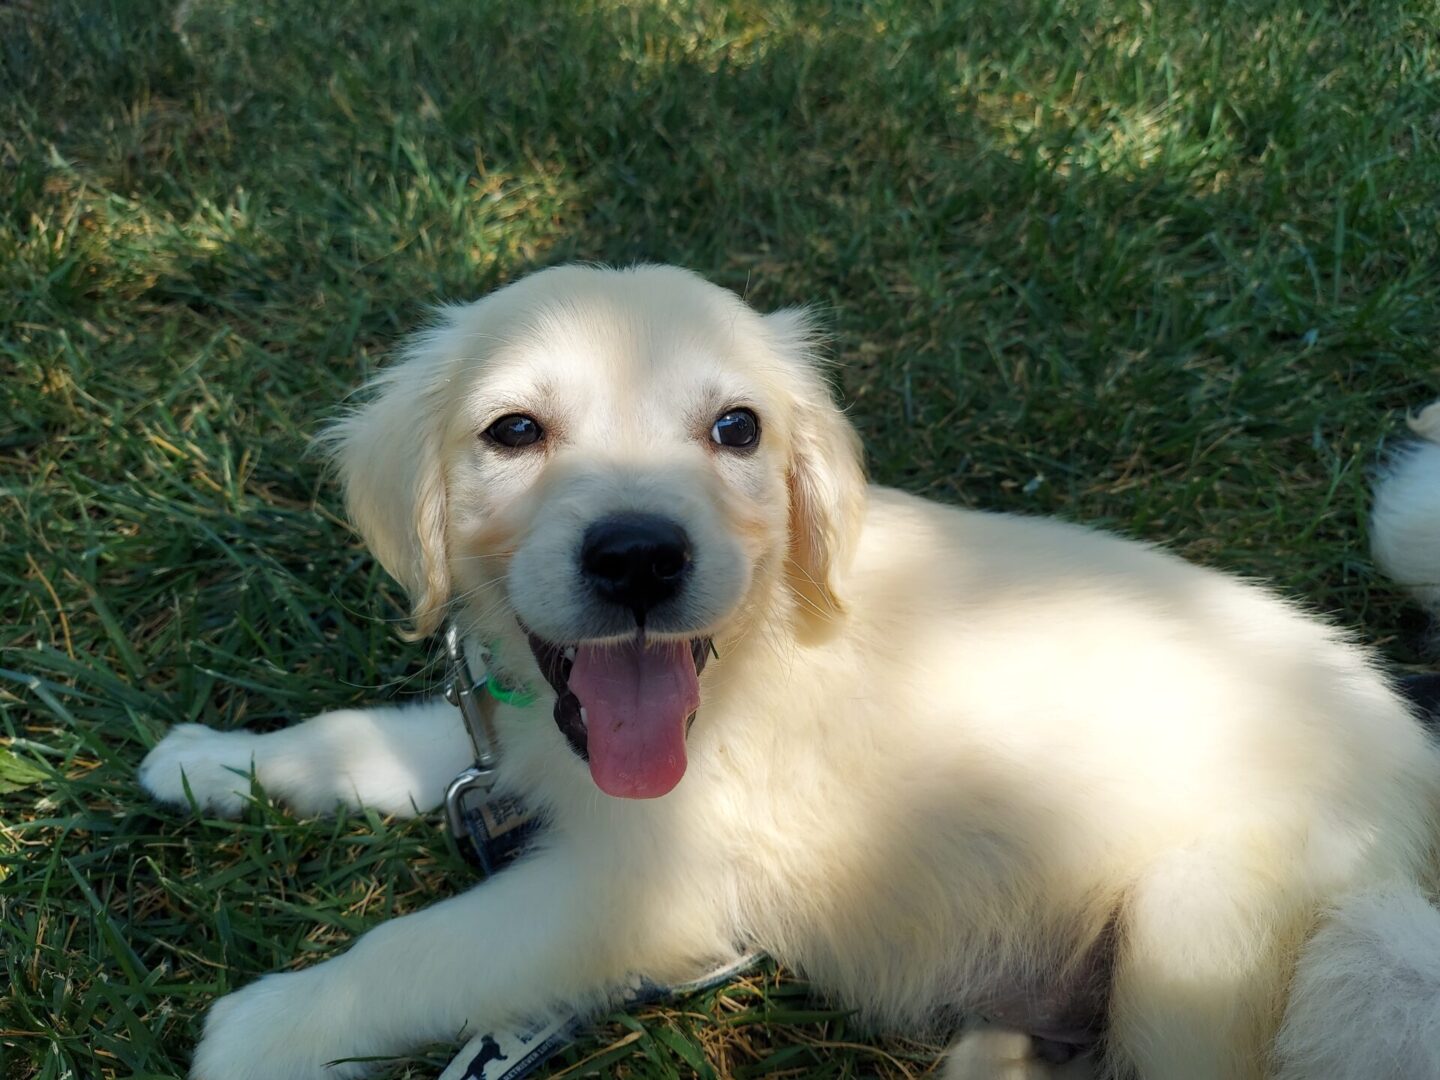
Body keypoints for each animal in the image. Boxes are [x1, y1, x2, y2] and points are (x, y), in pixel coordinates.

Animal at [140, 264, 1440, 1080]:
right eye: (513, 431)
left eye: (737, 429)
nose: (638, 557)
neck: (743, 660)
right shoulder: (520, 737)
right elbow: (383, 738)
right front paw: (216, 766)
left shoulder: (638, 894)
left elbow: (422, 950)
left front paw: (262, 1028)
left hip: (1211, 922)